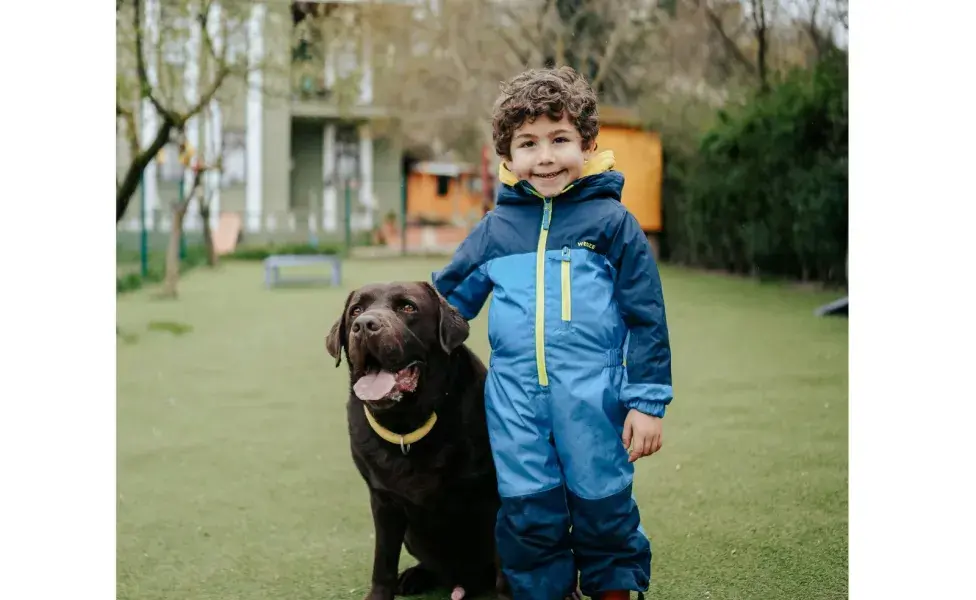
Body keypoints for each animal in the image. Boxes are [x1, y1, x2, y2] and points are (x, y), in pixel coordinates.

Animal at [328, 282, 510, 600]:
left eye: (407, 307)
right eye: (356, 310)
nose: (364, 325)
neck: (407, 425)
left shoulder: (496, 494)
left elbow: (506, 565)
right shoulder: (383, 500)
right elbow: (383, 561)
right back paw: (415, 576)